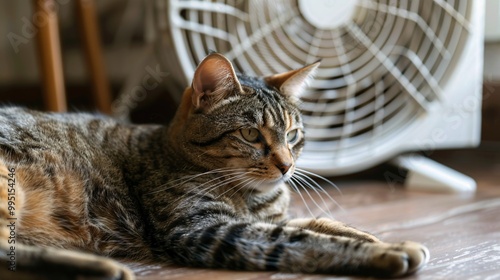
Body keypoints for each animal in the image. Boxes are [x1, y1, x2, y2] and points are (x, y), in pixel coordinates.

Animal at [0, 52, 430, 278]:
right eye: (252, 135)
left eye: (292, 135)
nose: (287, 166)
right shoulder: (204, 229)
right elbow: (302, 240)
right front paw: (389, 251)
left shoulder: (266, 218)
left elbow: (322, 223)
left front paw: (376, 238)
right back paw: (101, 266)